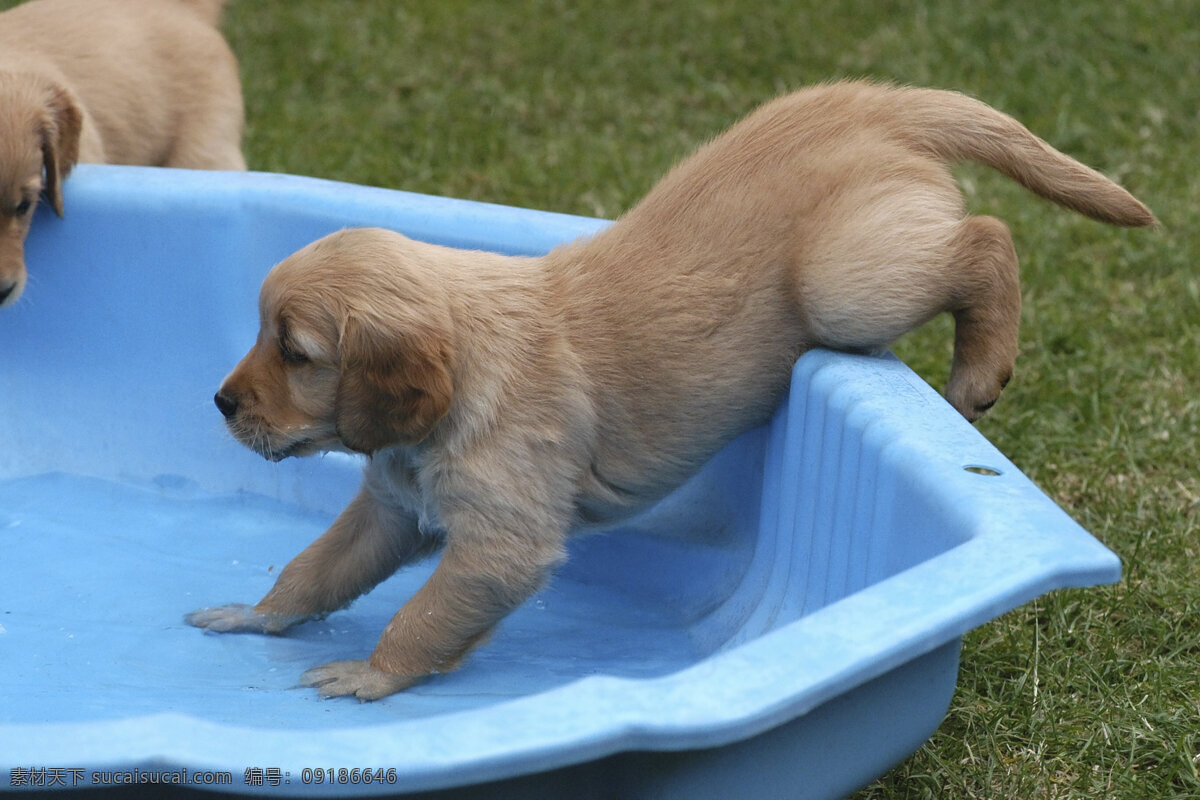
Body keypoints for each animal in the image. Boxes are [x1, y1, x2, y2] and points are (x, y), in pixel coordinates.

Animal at [187, 77, 1152, 695]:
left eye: (296, 352)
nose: (222, 403)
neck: (464, 382)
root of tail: (868, 102)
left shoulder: (502, 541)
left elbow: (424, 615)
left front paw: (374, 674)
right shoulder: (392, 509)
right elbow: (318, 567)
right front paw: (261, 616)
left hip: (850, 283)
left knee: (987, 238)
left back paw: (981, 366)